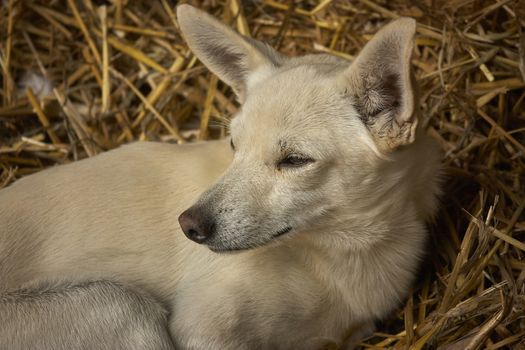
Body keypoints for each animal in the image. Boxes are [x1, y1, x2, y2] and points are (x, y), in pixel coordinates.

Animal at [0, 4, 440, 348]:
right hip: (120, 306)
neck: (345, 254)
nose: (188, 225)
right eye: (233, 145)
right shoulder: (202, 329)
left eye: (295, 160)